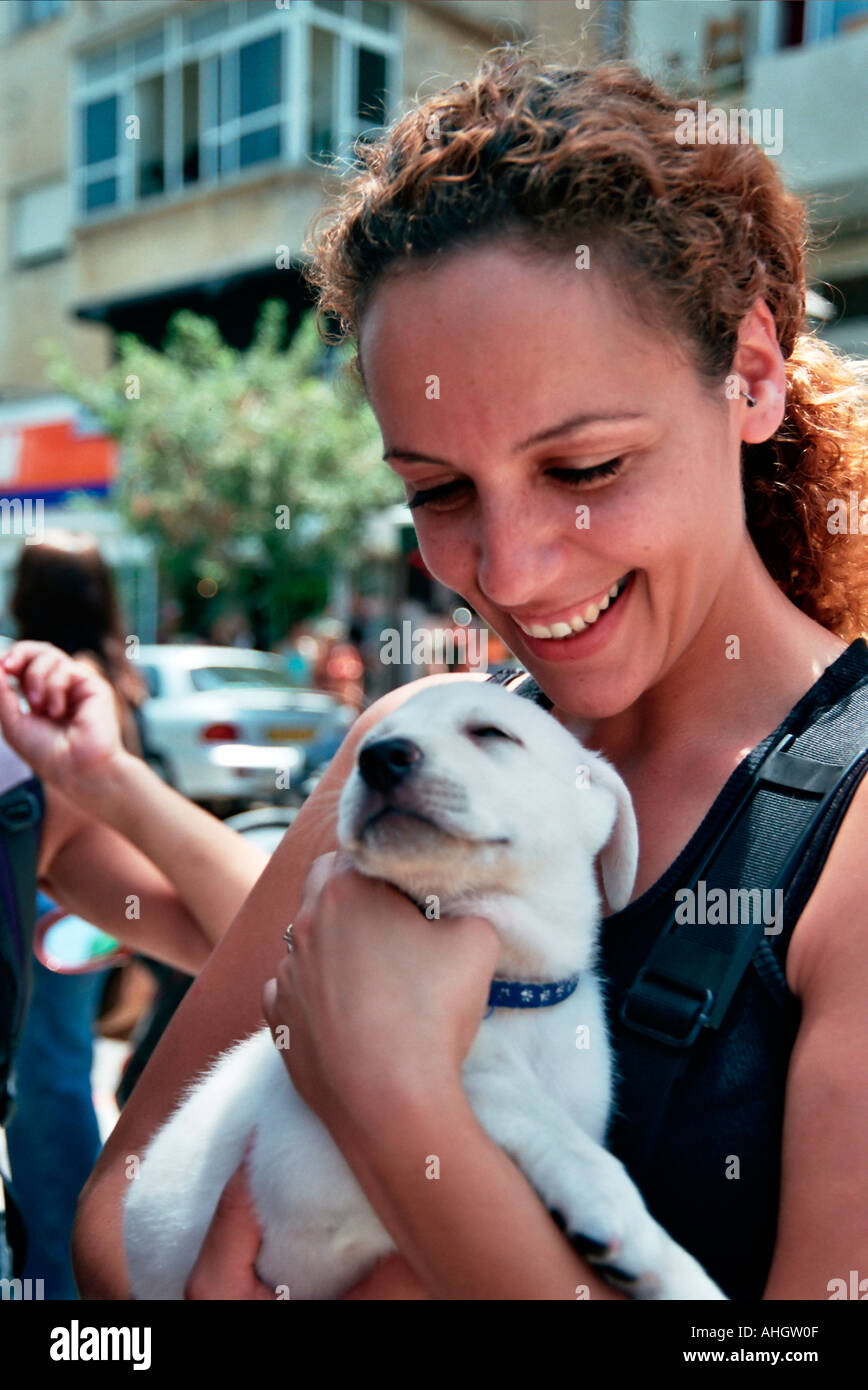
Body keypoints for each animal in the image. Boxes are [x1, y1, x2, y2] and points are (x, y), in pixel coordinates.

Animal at [123, 678, 723, 1295]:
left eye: (491, 733)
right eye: (371, 744)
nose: (378, 757)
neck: (509, 989)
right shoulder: (304, 1189)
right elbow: (502, 1089)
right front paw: (629, 1220)